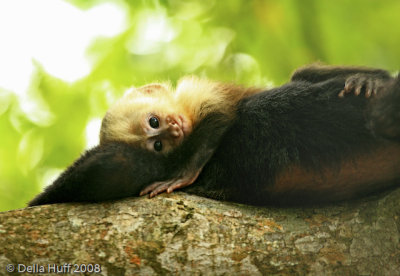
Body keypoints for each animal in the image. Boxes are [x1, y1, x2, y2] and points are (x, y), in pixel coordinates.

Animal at [28, 65, 400, 207]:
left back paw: (371, 79)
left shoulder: (195, 95)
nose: (173, 128)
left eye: (153, 121)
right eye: (158, 141)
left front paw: (184, 174)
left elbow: (221, 113)